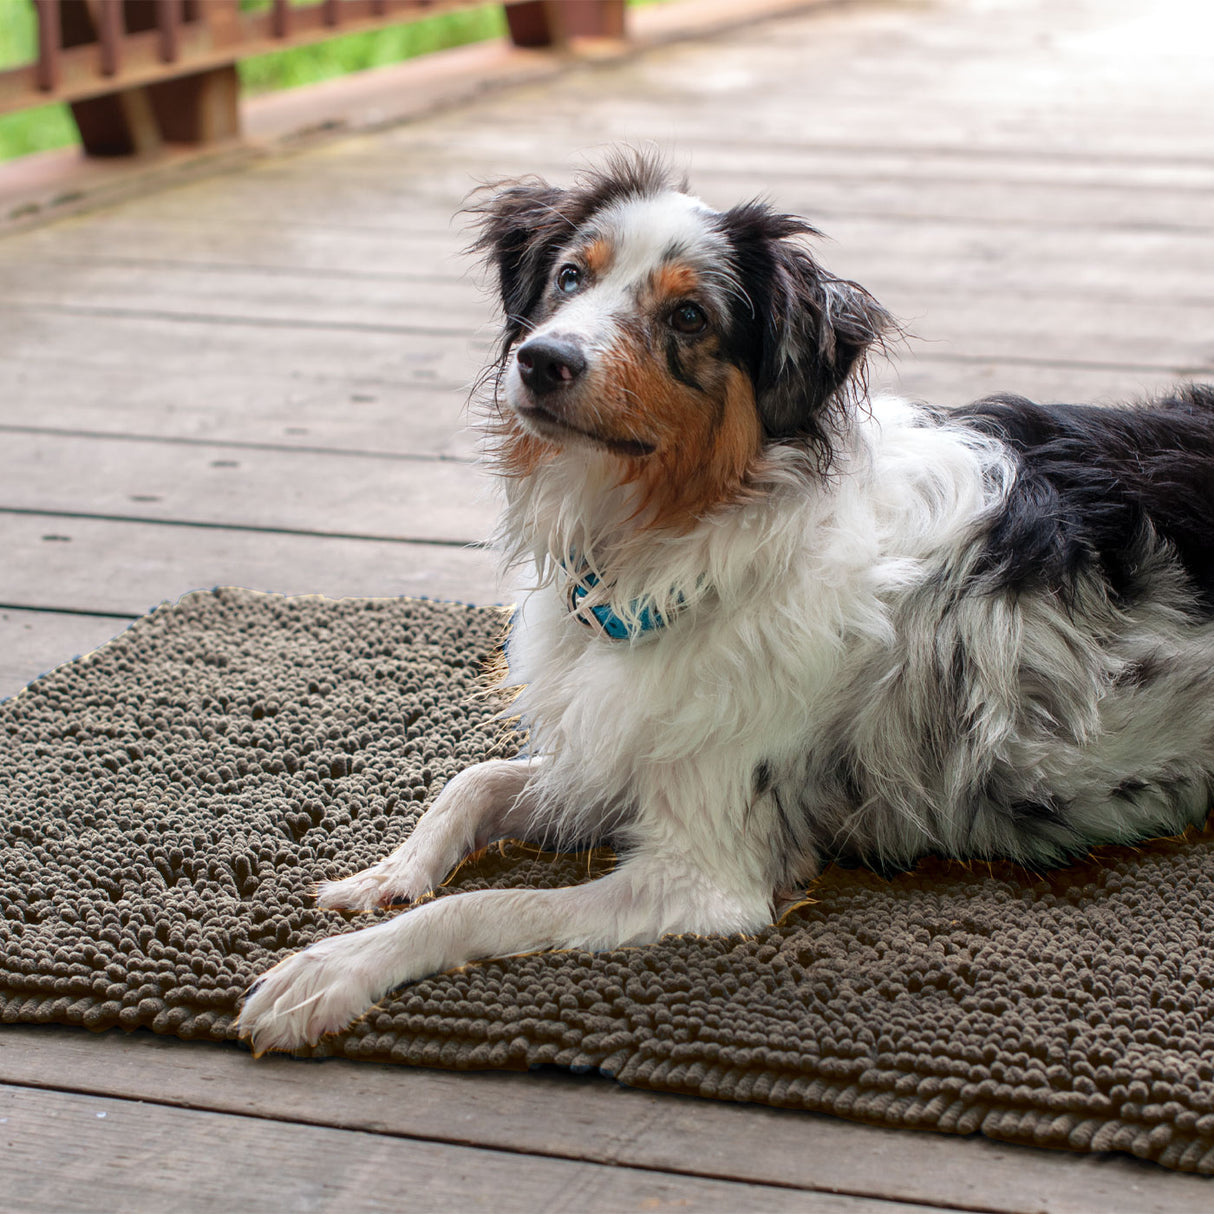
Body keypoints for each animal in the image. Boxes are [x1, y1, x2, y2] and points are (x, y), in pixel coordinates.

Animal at [236, 151, 1214, 1058]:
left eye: (689, 317)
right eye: (569, 277)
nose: (541, 359)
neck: (663, 552)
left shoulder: (704, 871)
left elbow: (483, 908)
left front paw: (334, 970)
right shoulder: (607, 754)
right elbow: (471, 782)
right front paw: (386, 875)